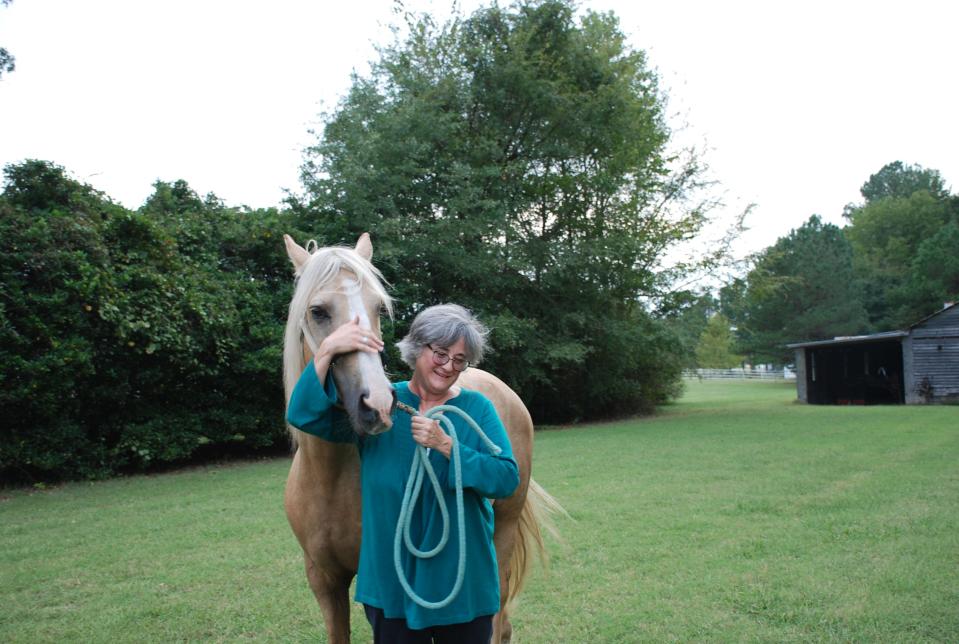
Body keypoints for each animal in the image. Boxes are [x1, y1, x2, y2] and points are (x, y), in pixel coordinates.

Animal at [282, 234, 560, 640]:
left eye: (379, 308)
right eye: (318, 311)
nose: (378, 404)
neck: (327, 477)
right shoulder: (324, 580)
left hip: (504, 533)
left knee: (496, 619)